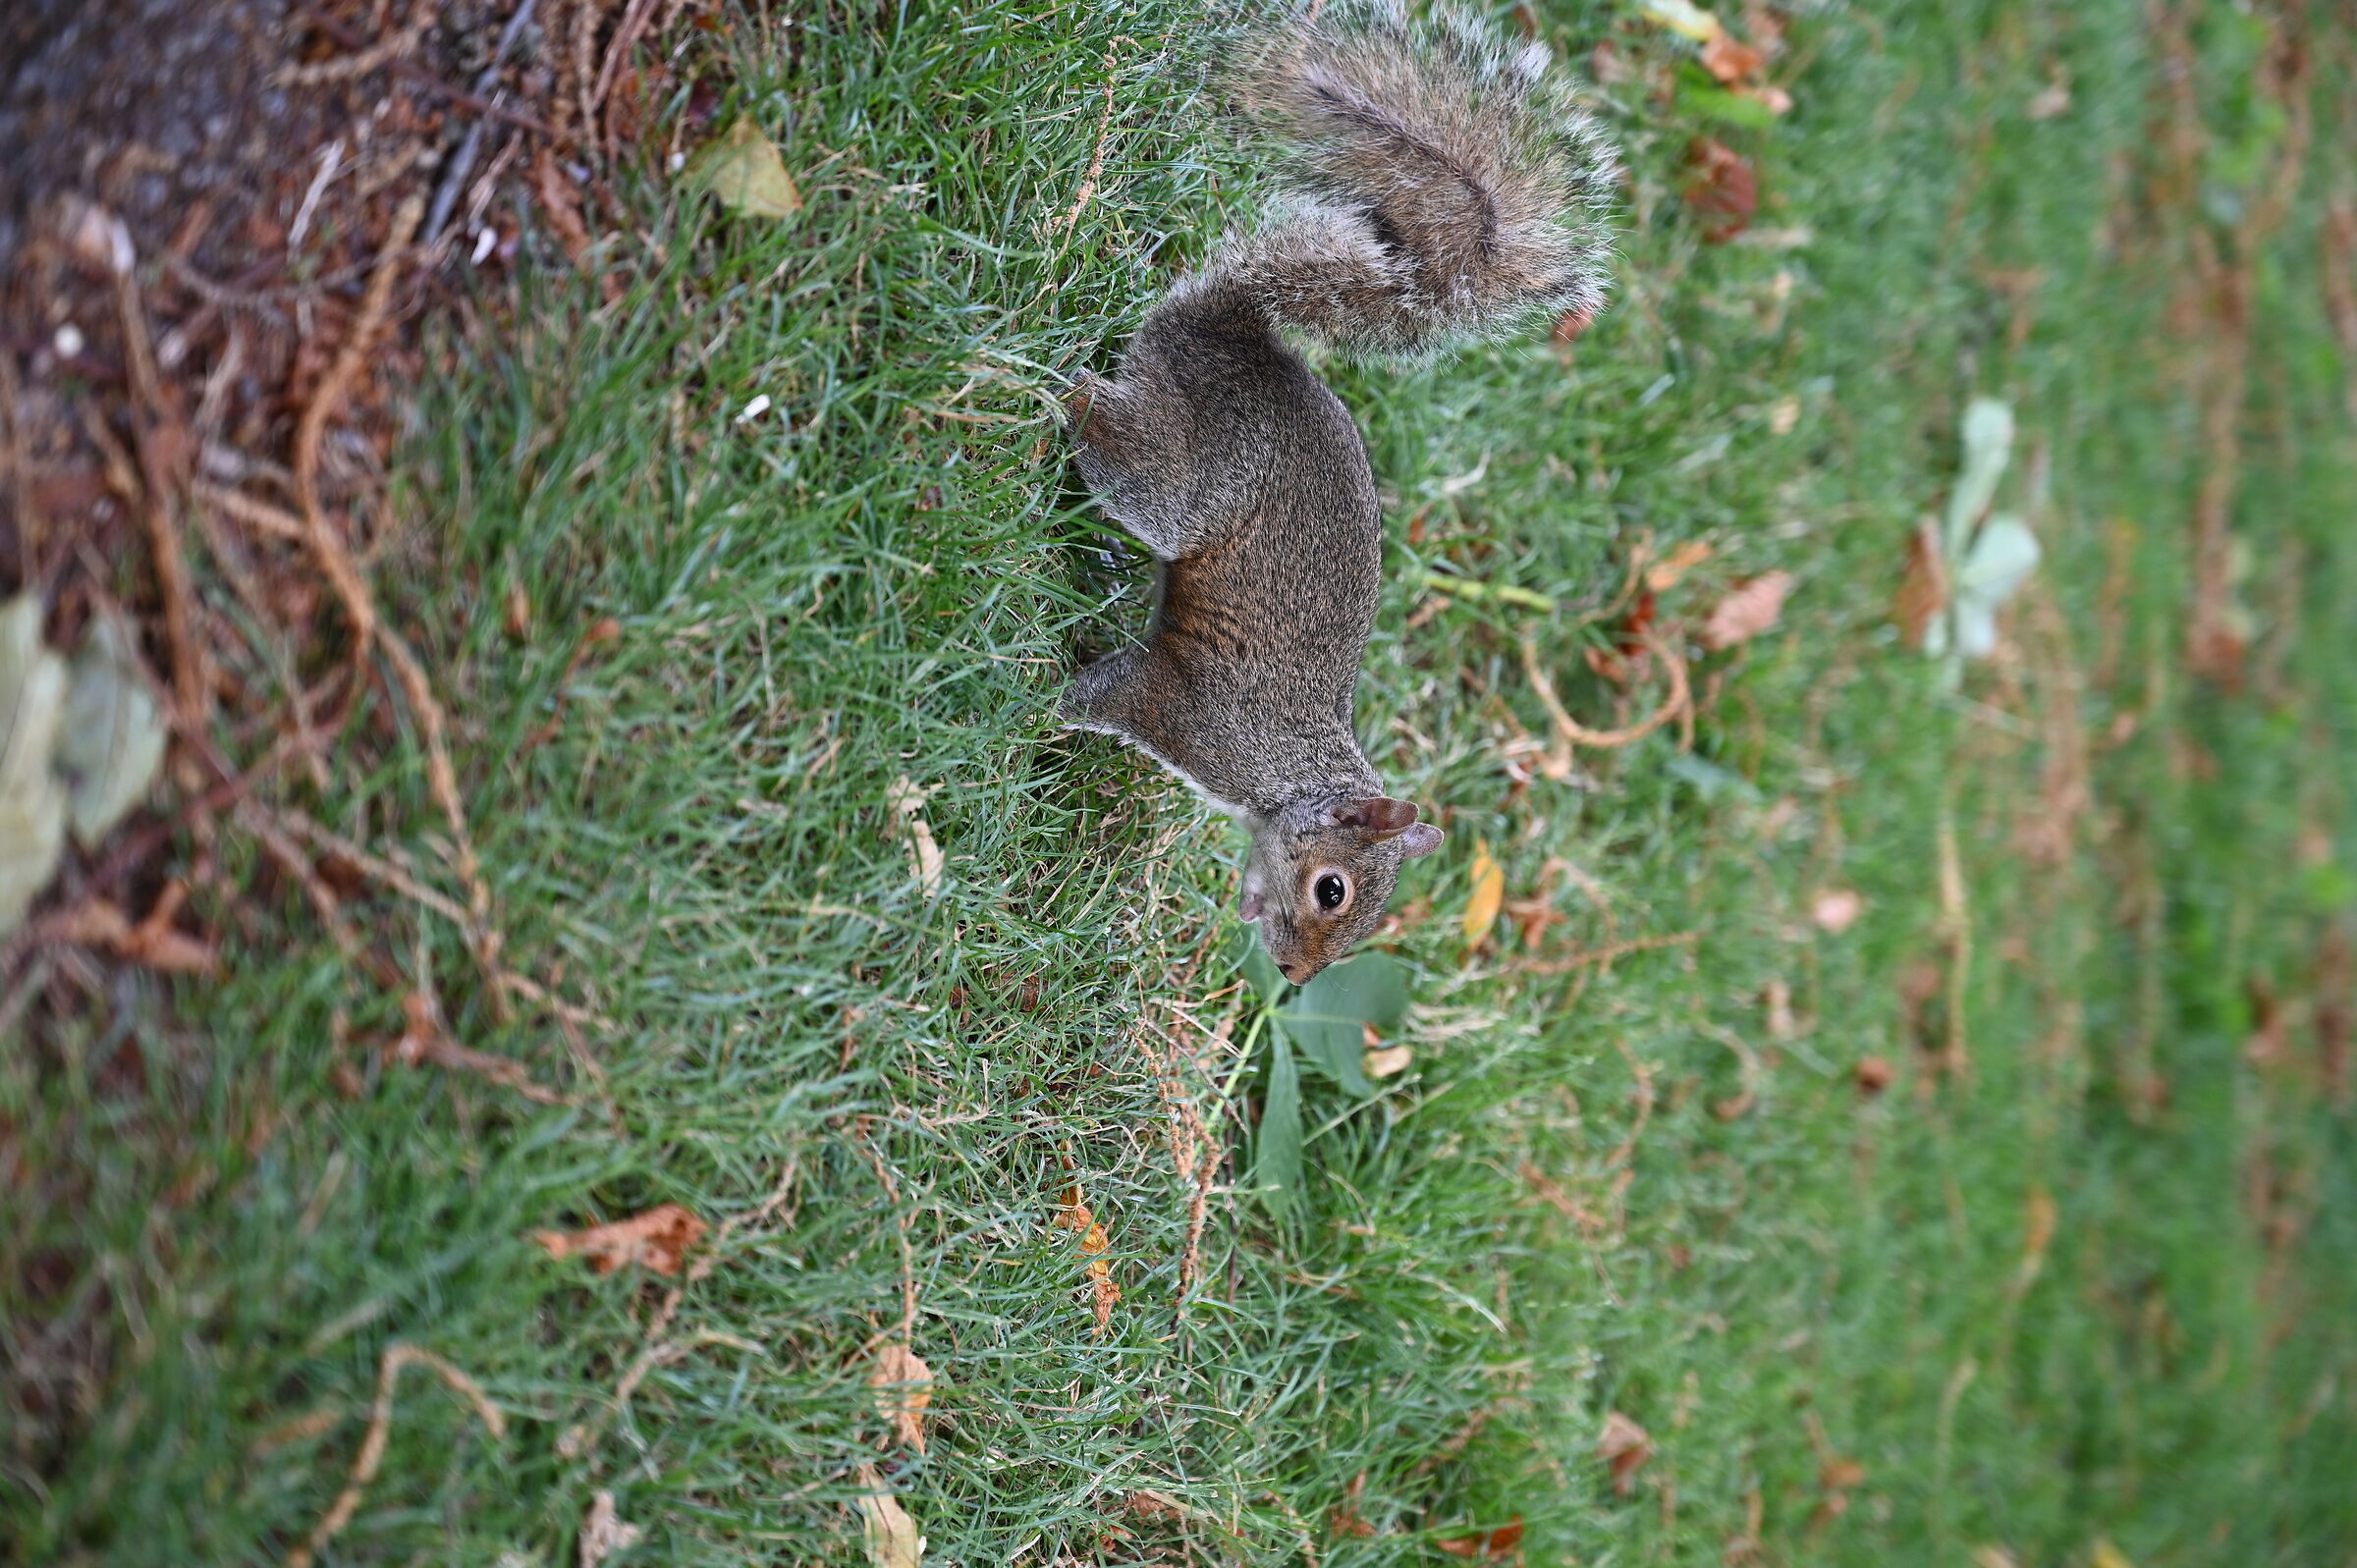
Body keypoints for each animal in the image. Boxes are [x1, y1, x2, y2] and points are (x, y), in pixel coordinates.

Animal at [1058, 1, 1617, 984]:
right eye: (1333, 890)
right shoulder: (1181, 709)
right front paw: (1043, 711)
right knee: (1114, 437)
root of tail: (1246, 338)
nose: (1294, 977)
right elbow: (1108, 696)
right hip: (1189, 476)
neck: (1288, 780)